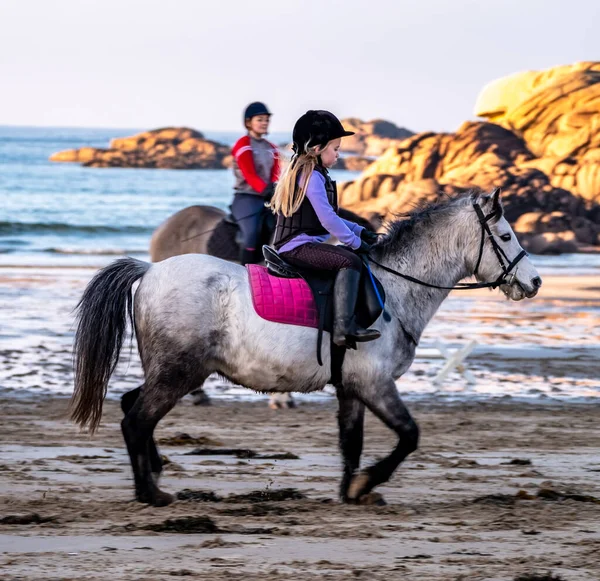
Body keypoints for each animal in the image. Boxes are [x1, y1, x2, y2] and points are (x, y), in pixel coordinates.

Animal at [71, 188, 544, 506]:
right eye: (505, 236)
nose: (535, 281)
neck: (393, 289)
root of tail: (149, 270)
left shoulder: (352, 386)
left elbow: (351, 441)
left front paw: (352, 490)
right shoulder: (374, 384)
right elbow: (409, 435)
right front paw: (366, 483)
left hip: (171, 370)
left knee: (133, 407)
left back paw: (154, 473)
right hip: (179, 371)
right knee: (136, 420)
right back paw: (150, 493)